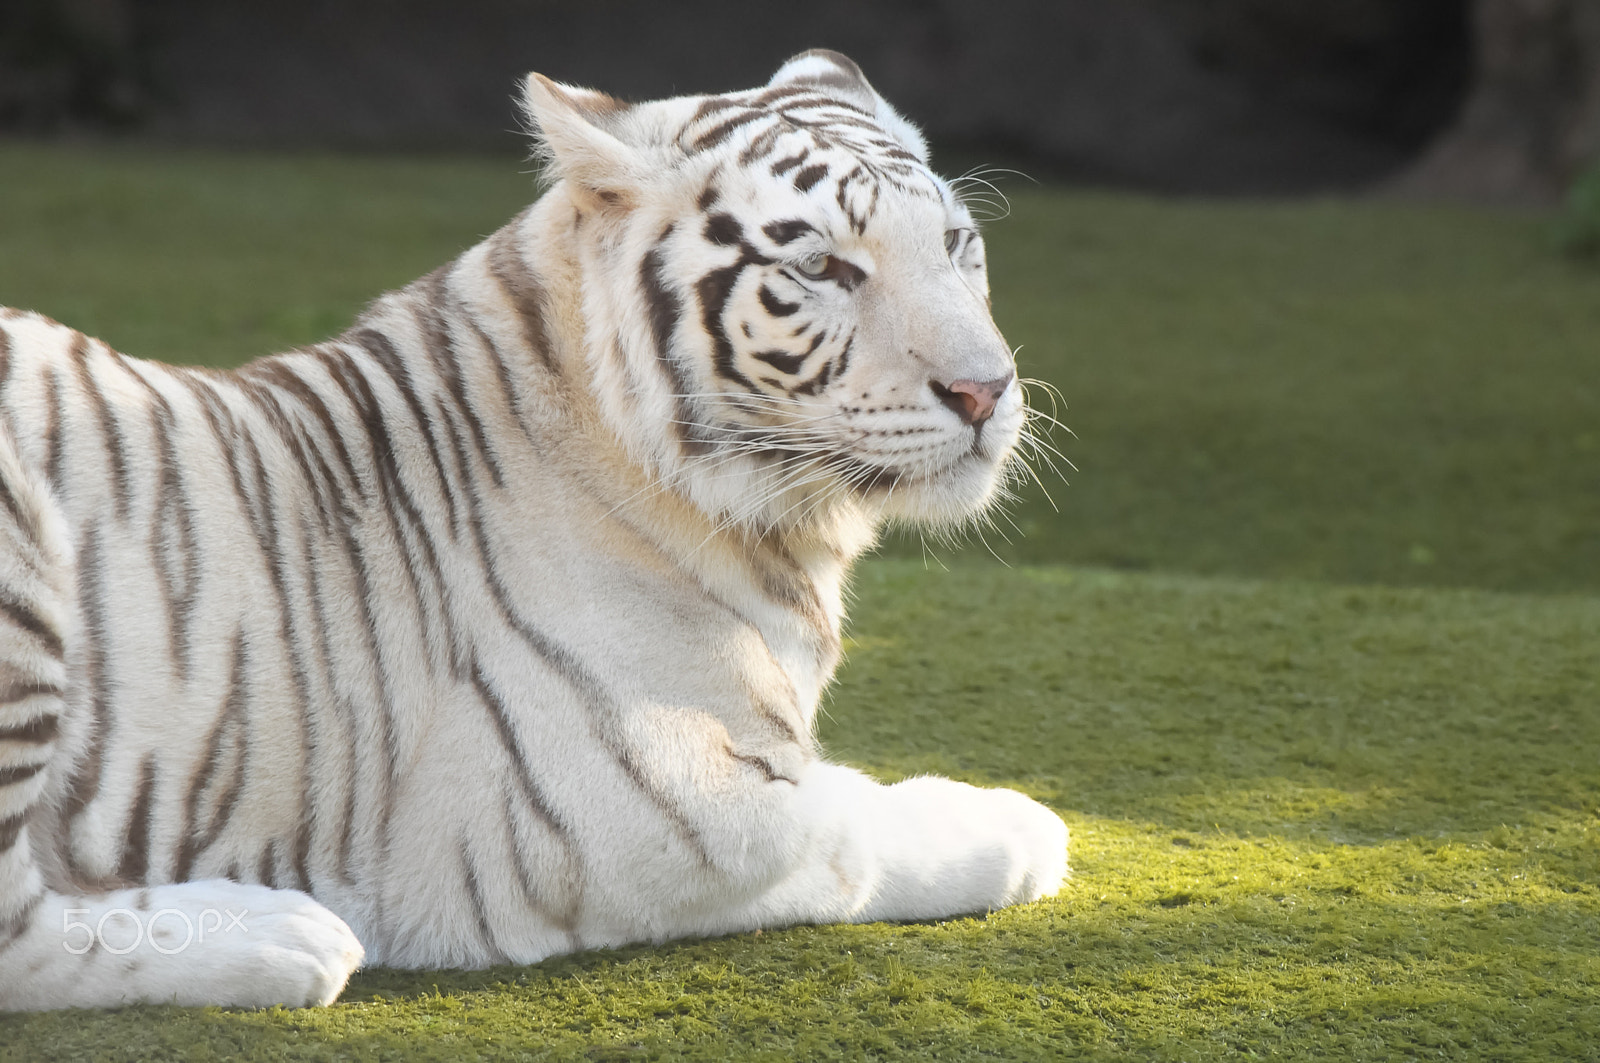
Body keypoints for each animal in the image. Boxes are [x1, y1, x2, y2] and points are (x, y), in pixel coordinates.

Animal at [3, 52, 1075, 1011]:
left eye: (956, 243)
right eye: (821, 266)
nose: (986, 389)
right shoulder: (641, 815)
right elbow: (853, 829)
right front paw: (1022, 823)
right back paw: (286, 937)